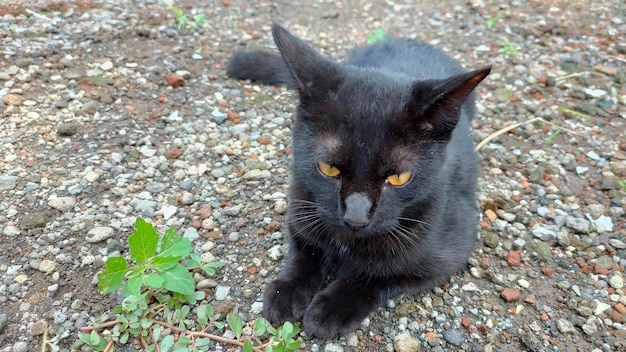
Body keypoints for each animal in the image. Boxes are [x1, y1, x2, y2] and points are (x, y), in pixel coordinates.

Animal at [227, 24, 490, 338]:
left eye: (398, 177)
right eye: (328, 169)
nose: (355, 217)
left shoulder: (450, 251)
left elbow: (378, 275)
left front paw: (331, 308)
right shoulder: (300, 208)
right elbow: (304, 251)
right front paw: (287, 292)